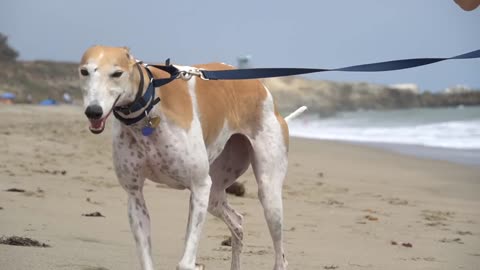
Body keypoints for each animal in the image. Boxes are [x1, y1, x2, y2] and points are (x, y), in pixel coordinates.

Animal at [77, 45, 306, 268]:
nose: (93, 111)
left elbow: (185, 263)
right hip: (215, 193)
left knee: (280, 257)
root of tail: (262, 88)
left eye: (117, 73)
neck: (150, 107)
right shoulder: (134, 194)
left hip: (268, 194)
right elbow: (146, 259)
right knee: (238, 221)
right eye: (84, 71)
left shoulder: (199, 186)